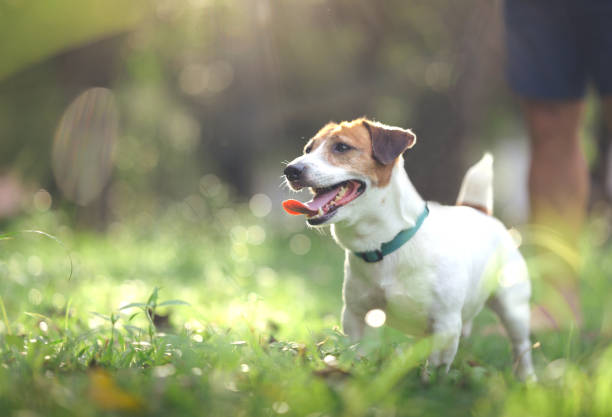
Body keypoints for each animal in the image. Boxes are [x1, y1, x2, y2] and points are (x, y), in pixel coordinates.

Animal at [284, 118, 536, 380]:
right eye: (308, 149)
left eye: (342, 147)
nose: (291, 170)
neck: (385, 245)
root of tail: (477, 209)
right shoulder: (357, 316)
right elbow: (358, 354)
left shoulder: (445, 325)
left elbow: (434, 371)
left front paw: (430, 386)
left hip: (513, 308)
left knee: (521, 345)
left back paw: (527, 378)